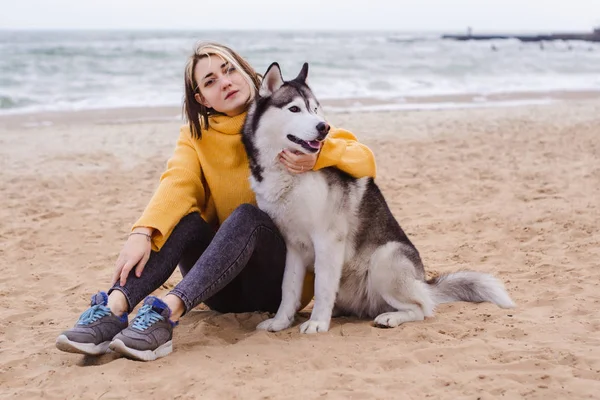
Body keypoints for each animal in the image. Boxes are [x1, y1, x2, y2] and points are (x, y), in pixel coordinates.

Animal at [241, 62, 512, 332]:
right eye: (295, 109)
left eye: (315, 109)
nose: (323, 127)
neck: (289, 176)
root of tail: (422, 280)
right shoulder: (293, 246)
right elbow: (288, 288)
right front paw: (280, 321)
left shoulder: (328, 240)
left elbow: (323, 287)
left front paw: (317, 323)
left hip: (384, 258)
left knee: (422, 308)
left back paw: (390, 317)